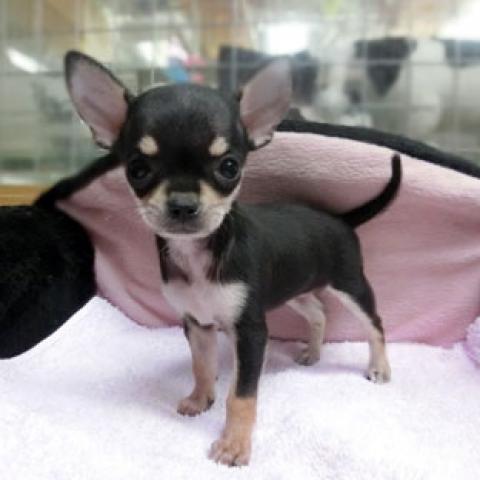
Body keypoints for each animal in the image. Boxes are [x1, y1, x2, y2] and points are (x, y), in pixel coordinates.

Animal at [64, 50, 401, 466]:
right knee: (319, 312)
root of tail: (340, 219)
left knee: (375, 324)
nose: (183, 205)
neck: (197, 254)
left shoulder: (251, 330)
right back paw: (312, 352)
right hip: (297, 289)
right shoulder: (197, 323)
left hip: (350, 285)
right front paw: (199, 399)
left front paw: (234, 445)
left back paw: (379, 367)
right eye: (138, 169)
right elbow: (202, 366)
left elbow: (241, 396)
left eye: (229, 167)